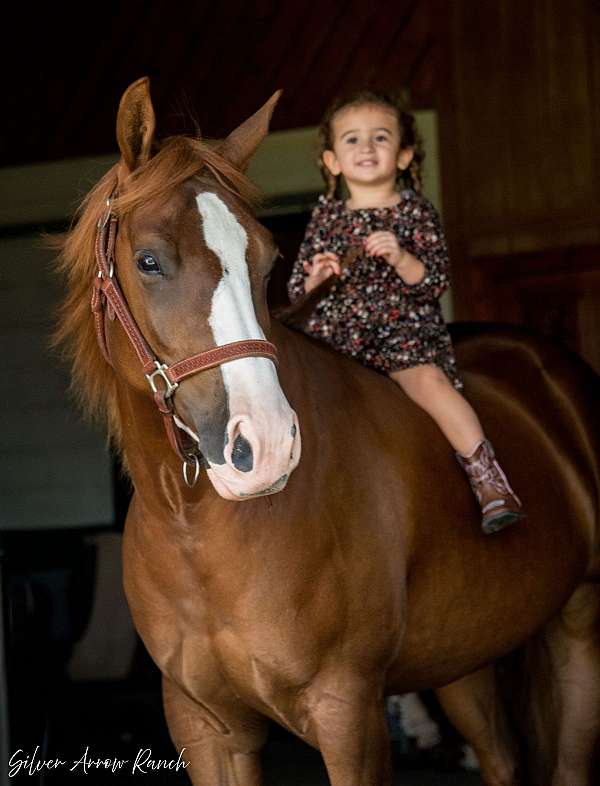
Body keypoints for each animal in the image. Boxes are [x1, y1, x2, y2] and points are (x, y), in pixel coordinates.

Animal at [54, 75, 596, 784]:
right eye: (148, 261)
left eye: (266, 261)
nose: (267, 446)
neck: (195, 529)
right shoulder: (206, 727)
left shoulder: (348, 711)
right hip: (464, 659)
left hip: (578, 623)